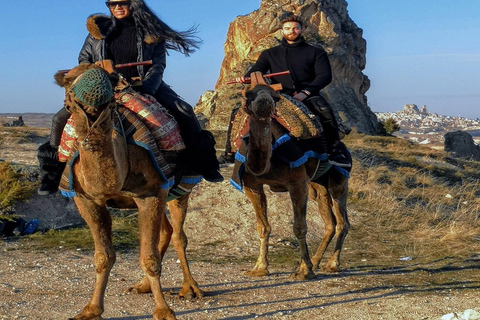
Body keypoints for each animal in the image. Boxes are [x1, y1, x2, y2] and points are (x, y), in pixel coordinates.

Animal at [54, 62, 201, 320]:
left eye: (111, 81)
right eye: (69, 80)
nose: (94, 90)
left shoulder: (151, 193)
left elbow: (149, 258)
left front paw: (163, 311)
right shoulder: (86, 199)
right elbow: (104, 257)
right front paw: (91, 309)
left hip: (180, 190)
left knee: (178, 236)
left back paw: (189, 288)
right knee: (166, 232)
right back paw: (142, 286)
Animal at [235, 72, 348, 280]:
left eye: (275, 97)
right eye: (248, 96)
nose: (264, 103)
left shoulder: (297, 182)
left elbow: (299, 227)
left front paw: (304, 271)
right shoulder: (251, 184)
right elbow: (263, 227)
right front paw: (259, 268)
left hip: (339, 181)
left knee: (342, 222)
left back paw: (331, 264)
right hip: (317, 185)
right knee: (330, 223)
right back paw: (317, 261)